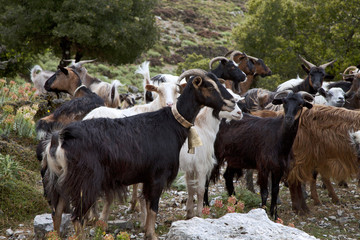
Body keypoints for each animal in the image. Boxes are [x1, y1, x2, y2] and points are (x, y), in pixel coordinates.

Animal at [41, 68, 236, 239]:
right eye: (209, 86)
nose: (232, 102)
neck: (170, 122)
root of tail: (60, 140)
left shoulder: (147, 177)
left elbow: (147, 204)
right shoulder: (158, 176)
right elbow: (153, 207)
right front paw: (152, 235)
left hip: (59, 181)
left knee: (57, 213)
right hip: (85, 183)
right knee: (77, 218)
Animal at [179, 88, 243, 219]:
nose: (240, 113)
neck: (203, 128)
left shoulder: (190, 167)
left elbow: (190, 188)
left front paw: (189, 213)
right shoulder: (201, 166)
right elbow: (200, 189)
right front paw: (200, 214)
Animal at [210, 90, 314, 219]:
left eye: (300, 104)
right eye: (284, 102)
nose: (289, 119)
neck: (279, 137)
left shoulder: (278, 168)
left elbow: (275, 191)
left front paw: (275, 215)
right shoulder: (263, 166)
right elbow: (264, 192)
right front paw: (263, 212)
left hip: (234, 158)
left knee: (228, 177)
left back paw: (235, 204)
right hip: (215, 154)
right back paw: (206, 204)